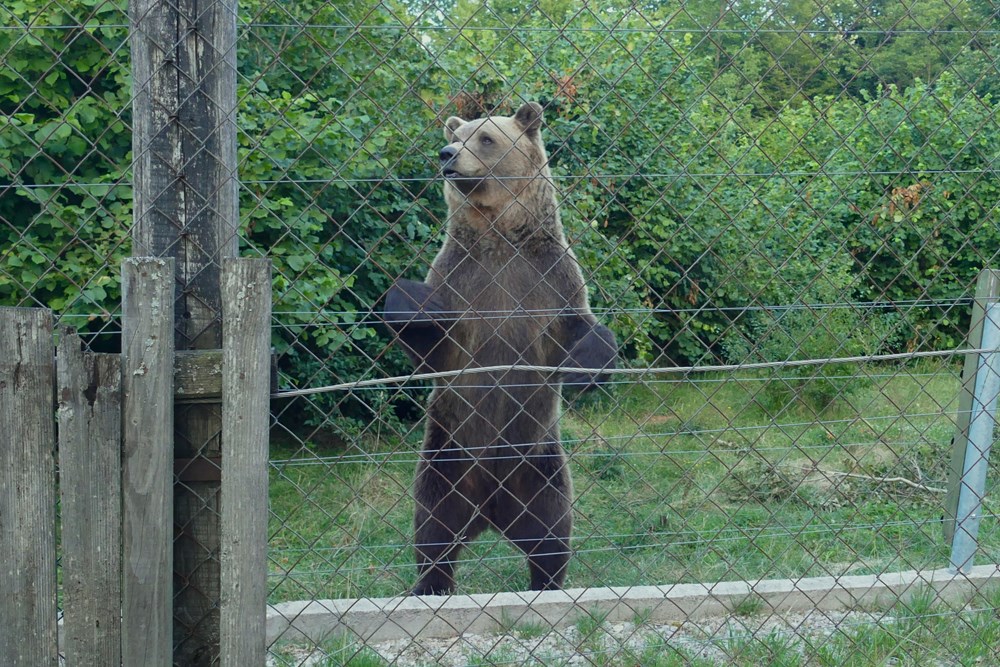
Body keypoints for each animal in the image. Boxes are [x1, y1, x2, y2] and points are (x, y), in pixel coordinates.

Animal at [384, 100, 612, 596]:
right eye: (458, 134)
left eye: (485, 137)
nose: (447, 154)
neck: (500, 237)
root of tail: (491, 511)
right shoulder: (461, 280)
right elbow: (434, 348)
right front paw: (408, 301)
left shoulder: (549, 280)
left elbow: (582, 328)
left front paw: (586, 367)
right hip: (446, 458)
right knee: (433, 530)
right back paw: (430, 585)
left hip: (540, 463)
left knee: (551, 532)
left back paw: (546, 582)